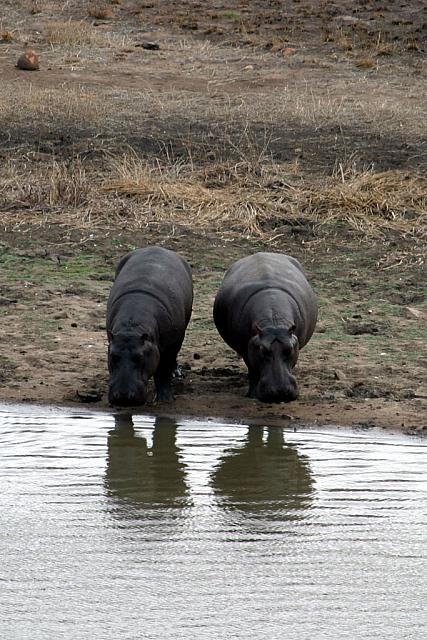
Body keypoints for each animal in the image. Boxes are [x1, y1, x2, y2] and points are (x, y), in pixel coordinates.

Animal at [107, 247, 193, 406]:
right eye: (113, 356)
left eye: (139, 357)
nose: (123, 397)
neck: (132, 327)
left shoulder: (170, 347)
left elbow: (163, 372)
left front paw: (165, 399)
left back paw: (176, 373)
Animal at [213, 252, 317, 403]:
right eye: (262, 350)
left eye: (290, 349)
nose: (280, 392)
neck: (274, 324)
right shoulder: (248, 349)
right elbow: (252, 369)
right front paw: (252, 394)